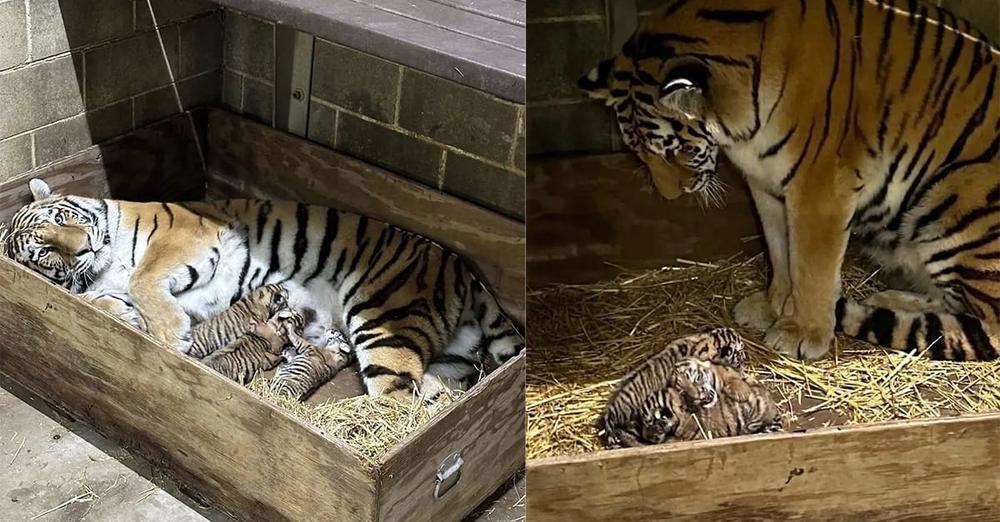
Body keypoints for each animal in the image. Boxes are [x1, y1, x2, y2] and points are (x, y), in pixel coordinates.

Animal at [3, 179, 524, 402]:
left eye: (60, 217)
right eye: (46, 251)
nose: (84, 246)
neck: (103, 263)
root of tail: (462, 268)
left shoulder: (185, 237)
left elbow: (142, 277)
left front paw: (170, 335)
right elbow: (100, 300)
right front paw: (129, 317)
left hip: (382, 321)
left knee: (392, 403)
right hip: (447, 359)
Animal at [580, 0, 1000, 358]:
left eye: (675, 150)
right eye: (639, 152)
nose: (668, 197)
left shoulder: (820, 187)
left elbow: (811, 266)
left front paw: (803, 332)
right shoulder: (765, 184)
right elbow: (780, 251)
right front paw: (774, 306)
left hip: (954, 198)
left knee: (985, 321)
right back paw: (886, 300)